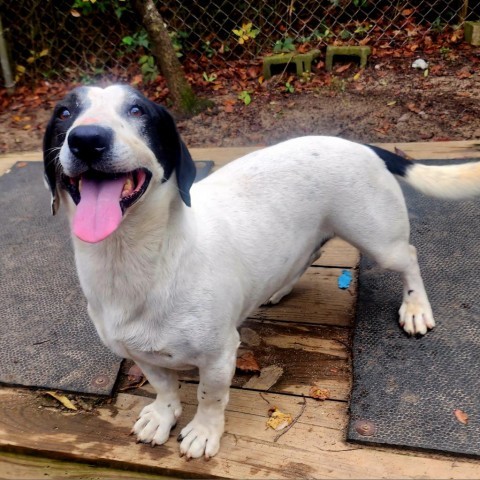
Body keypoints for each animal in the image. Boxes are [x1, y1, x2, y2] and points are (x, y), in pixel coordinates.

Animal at [44, 85, 480, 458]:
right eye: (65, 112)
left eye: (137, 110)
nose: (87, 138)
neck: (133, 260)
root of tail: (359, 144)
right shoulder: (140, 353)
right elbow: (165, 387)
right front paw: (163, 416)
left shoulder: (219, 356)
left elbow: (209, 398)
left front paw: (203, 432)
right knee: (308, 254)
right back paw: (279, 288)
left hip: (380, 240)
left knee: (409, 257)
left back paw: (416, 308)